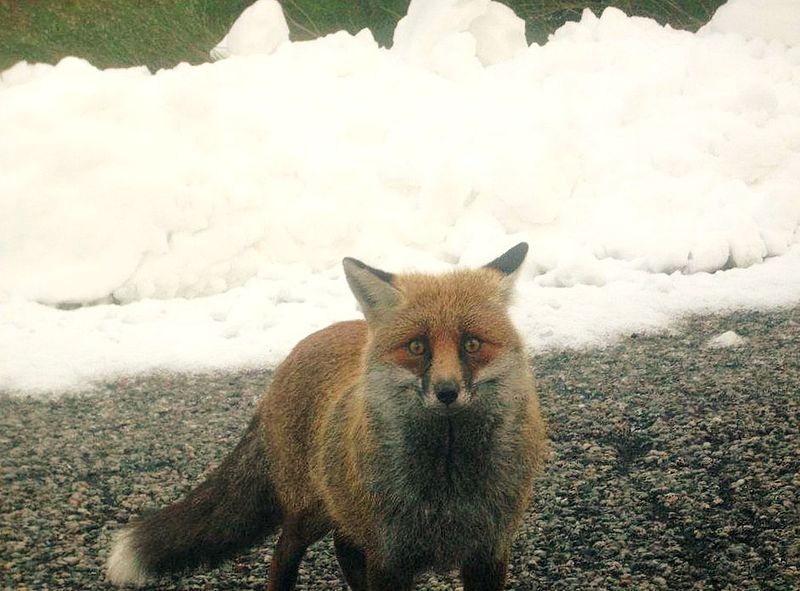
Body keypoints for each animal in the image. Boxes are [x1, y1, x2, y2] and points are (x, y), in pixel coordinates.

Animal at [106, 242, 548, 591]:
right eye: (417, 347)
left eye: (472, 344)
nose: (446, 392)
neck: (447, 483)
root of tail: (298, 349)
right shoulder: (390, 554)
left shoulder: (489, 551)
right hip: (312, 510)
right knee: (284, 552)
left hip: (342, 512)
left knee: (344, 548)